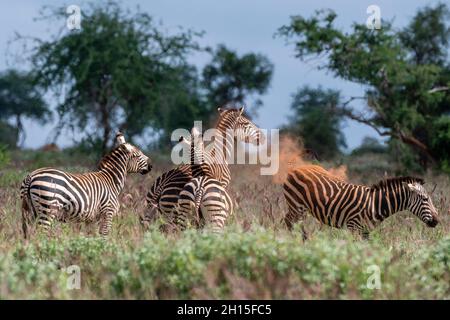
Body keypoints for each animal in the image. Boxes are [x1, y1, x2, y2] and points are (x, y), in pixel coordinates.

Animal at [284, 165, 440, 238]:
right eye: (425, 199)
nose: (437, 221)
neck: (375, 204)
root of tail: (296, 169)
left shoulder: (365, 232)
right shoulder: (354, 227)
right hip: (297, 206)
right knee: (289, 221)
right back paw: (296, 242)